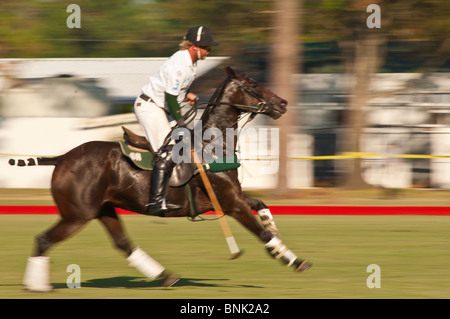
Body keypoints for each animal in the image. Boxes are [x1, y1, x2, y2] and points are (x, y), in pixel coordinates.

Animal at [19, 67, 312, 292]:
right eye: (252, 84)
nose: (282, 103)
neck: (212, 145)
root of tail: (62, 158)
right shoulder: (231, 204)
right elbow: (262, 234)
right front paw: (292, 259)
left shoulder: (231, 198)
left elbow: (262, 205)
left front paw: (277, 238)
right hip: (77, 214)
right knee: (44, 240)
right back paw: (37, 286)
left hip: (102, 209)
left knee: (123, 244)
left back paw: (166, 276)